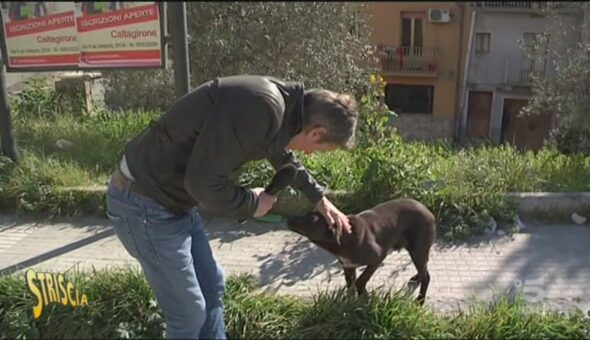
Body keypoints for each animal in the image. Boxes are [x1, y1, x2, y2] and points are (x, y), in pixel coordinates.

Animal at [290, 198, 438, 304]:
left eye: (310, 220)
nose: (289, 218)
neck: (346, 237)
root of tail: (429, 212)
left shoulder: (378, 258)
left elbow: (360, 281)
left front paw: (363, 297)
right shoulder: (348, 266)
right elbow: (350, 286)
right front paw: (349, 304)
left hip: (417, 250)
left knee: (427, 276)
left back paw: (420, 300)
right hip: (419, 251)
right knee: (424, 269)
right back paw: (417, 277)